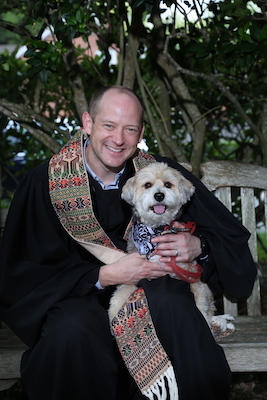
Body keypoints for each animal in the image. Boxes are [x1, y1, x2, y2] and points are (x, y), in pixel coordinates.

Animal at [109, 162, 234, 334]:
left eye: (168, 184)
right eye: (147, 185)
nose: (159, 195)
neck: (156, 231)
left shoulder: (194, 279)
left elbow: (199, 306)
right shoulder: (134, 273)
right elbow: (118, 296)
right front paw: (112, 315)